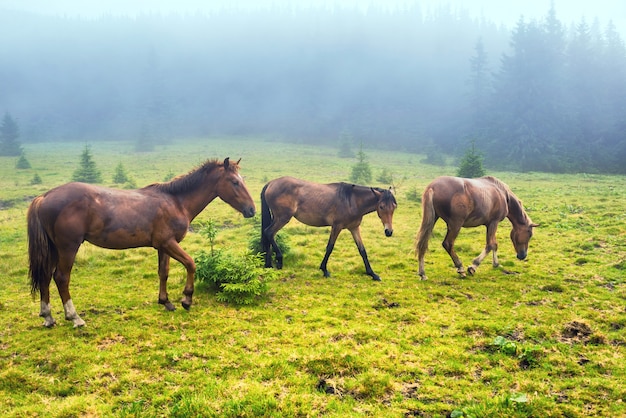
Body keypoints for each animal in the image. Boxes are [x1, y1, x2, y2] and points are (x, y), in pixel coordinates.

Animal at [27, 157, 254, 326]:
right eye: (235, 182)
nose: (251, 210)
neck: (175, 201)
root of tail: (44, 197)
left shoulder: (163, 246)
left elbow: (164, 272)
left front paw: (165, 301)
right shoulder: (169, 243)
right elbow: (191, 264)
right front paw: (186, 299)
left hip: (54, 249)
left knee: (45, 276)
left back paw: (48, 317)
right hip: (68, 248)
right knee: (61, 278)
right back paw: (74, 317)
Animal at [258, 176, 394, 280]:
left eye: (394, 207)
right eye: (381, 206)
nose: (389, 231)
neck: (351, 201)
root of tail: (271, 183)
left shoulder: (354, 228)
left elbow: (362, 250)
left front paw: (372, 274)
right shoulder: (337, 226)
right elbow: (330, 247)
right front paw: (324, 270)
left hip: (277, 218)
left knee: (268, 234)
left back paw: (268, 264)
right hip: (283, 218)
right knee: (269, 232)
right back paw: (279, 260)